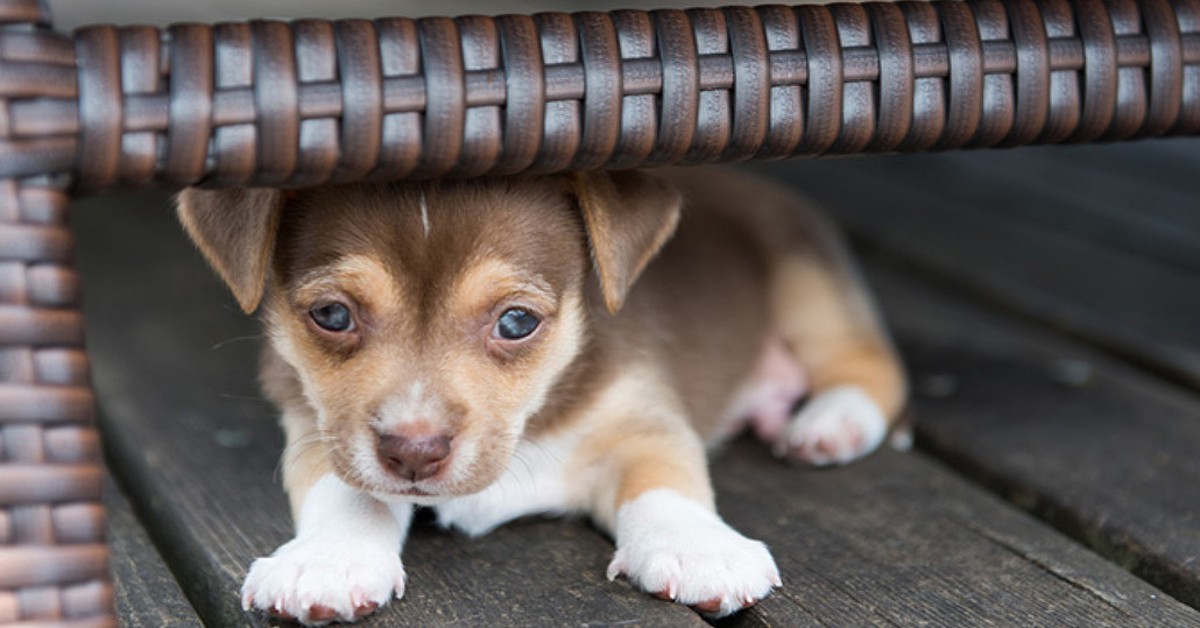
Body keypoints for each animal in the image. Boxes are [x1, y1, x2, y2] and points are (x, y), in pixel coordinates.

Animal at [177, 169, 902, 624]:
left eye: (517, 323)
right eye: (331, 315)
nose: (414, 454)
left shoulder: (643, 417)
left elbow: (665, 480)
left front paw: (700, 549)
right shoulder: (314, 424)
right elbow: (347, 488)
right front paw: (326, 561)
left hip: (808, 284)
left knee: (874, 368)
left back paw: (829, 423)